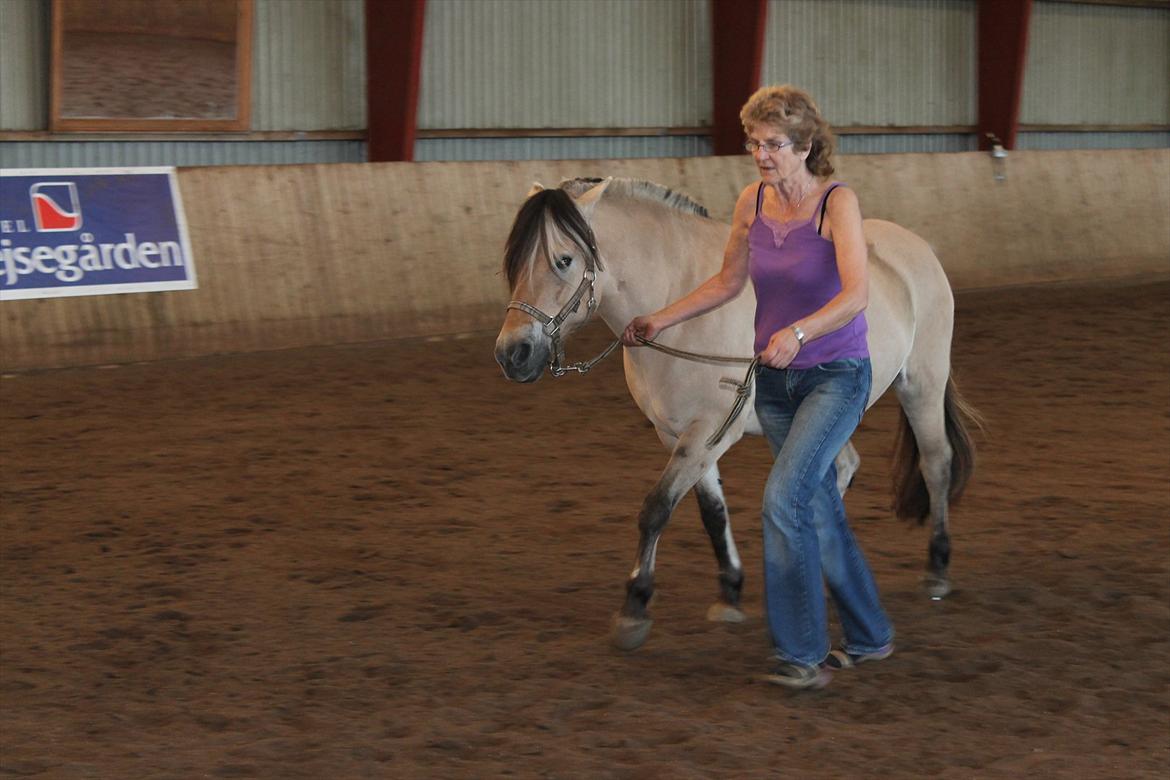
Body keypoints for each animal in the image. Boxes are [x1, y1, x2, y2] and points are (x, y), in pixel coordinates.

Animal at [493, 176, 978, 654]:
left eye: (564, 260)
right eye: (513, 263)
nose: (512, 354)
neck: (678, 301)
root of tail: (916, 246)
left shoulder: (709, 431)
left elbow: (656, 508)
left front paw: (634, 607)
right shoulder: (680, 436)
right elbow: (712, 512)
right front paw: (730, 591)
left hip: (922, 385)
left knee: (935, 464)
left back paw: (937, 569)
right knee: (840, 468)